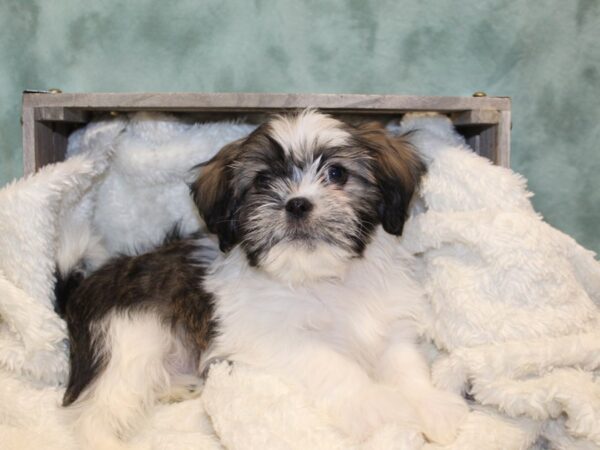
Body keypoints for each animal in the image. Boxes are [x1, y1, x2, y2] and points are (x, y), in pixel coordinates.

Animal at [57, 110, 468, 448]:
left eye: (337, 173)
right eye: (263, 179)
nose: (297, 203)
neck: (322, 279)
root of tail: (81, 289)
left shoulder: (388, 323)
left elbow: (405, 365)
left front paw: (432, 407)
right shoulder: (280, 338)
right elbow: (339, 368)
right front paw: (383, 409)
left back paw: (180, 386)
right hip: (130, 339)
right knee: (93, 413)